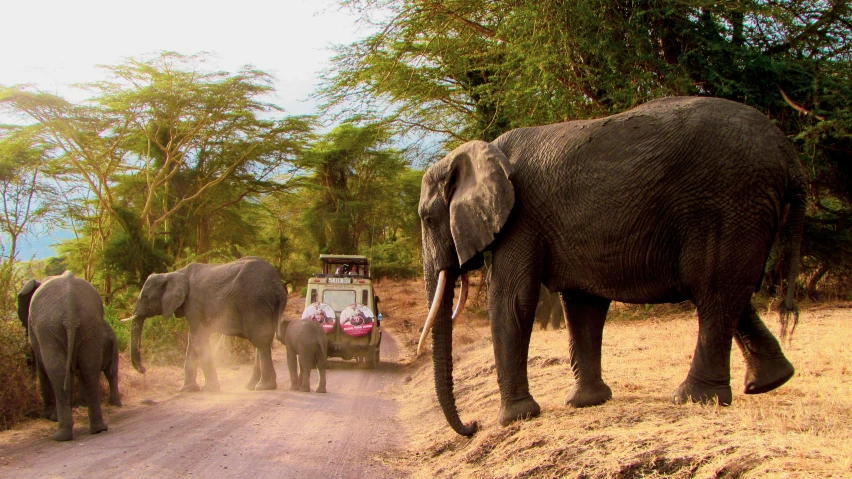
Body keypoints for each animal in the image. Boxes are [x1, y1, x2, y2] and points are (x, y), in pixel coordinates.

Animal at [16, 274, 120, 442]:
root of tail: (70, 311)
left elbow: (43, 368)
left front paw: (48, 416)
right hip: (90, 324)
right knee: (89, 370)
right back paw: (99, 428)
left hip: (50, 328)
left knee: (57, 372)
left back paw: (60, 434)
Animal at [125, 258, 288, 394]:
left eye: (145, 297)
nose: (143, 370)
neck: (174, 273)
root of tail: (278, 286)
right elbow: (192, 341)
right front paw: (187, 390)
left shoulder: (193, 304)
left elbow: (198, 339)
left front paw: (209, 390)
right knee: (261, 342)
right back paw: (250, 386)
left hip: (255, 303)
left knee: (261, 341)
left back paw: (264, 387)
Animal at [420, 95, 804, 436]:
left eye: (426, 218)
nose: (472, 426)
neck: (479, 151)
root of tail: (789, 155)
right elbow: (581, 303)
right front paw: (587, 403)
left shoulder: (520, 217)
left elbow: (512, 298)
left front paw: (515, 419)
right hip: (745, 209)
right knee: (733, 292)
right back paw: (769, 382)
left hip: (727, 203)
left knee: (713, 290)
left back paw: (694, 398)